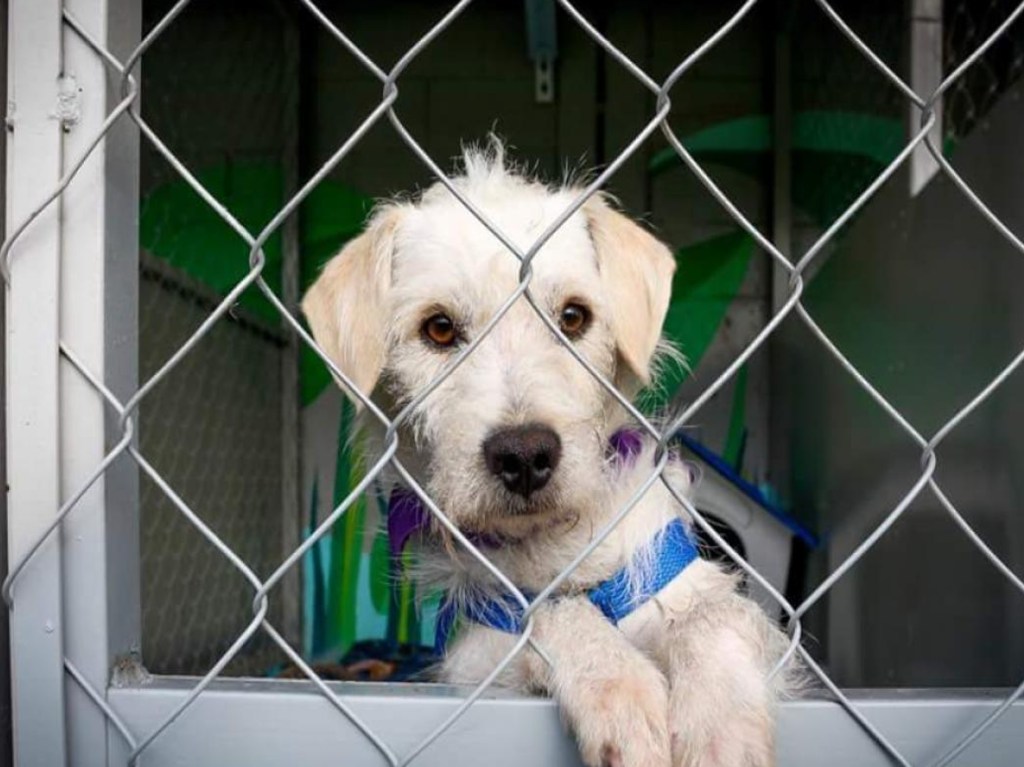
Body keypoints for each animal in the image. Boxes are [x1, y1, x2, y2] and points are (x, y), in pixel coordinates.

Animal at [299, 145, 794, 765]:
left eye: (574, 316)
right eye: (439, 329)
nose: (524, 455)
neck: (554, 545)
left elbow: (714, 614)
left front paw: (722, 728)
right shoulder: (478, 652)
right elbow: (551, 614)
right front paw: (620, 686)